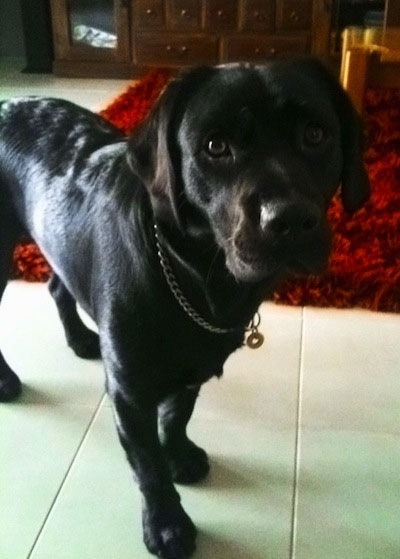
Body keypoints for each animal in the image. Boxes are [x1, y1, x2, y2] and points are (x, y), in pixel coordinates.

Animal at [0, 59, 368, 556]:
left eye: (315, 134)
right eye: (215, 146)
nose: (289, 219)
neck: (196, 280)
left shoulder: (194, 368)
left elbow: (176, 417)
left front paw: (180, 455)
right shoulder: (129, 393)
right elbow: (147, 468)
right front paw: (167, 525)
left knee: (59, 287)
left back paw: (80, 339)